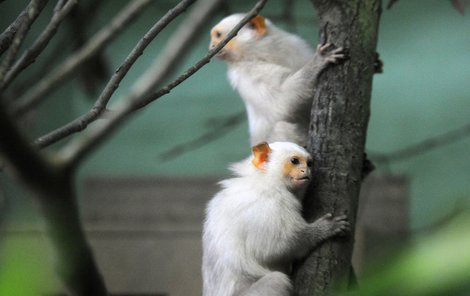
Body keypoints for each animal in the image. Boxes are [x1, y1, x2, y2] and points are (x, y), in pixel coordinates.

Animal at [201, 142, 348, 294]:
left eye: (309, 164)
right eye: (295, 161)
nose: (306, 171)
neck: (264, 180)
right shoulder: (271, 205)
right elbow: (272, 248)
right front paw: (324, 228)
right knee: (278, 280)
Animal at [211, 14, 346, 146]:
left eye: (218, 35)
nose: (211, 47)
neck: (260, 52)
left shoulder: (294, 45)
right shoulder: (243, 72)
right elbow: (281, 103)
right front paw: (317, 63)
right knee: (281, 127)